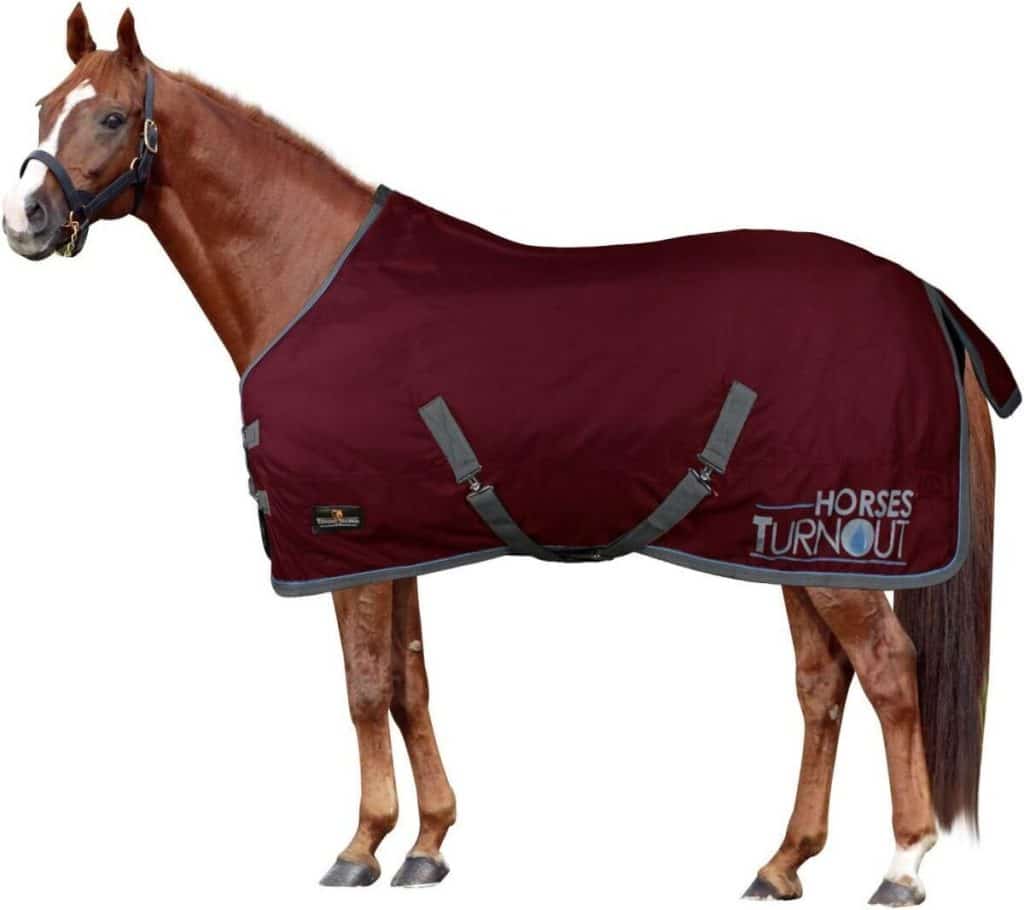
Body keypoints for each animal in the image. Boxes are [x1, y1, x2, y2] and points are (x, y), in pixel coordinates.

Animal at [2, 7, 1009, 904]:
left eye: (111, 116)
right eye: (42, 103)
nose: (27, 220)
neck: (306, 276)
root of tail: (928, 300)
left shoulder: (340, 534)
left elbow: (364, 688)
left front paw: (360, 847)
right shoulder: (390, 543)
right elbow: (408, 684)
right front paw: (427, 845)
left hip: (843, 545)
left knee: (889, 674)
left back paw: (903, 866)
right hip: (783, 543)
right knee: (822, 686)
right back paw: (782, 864)